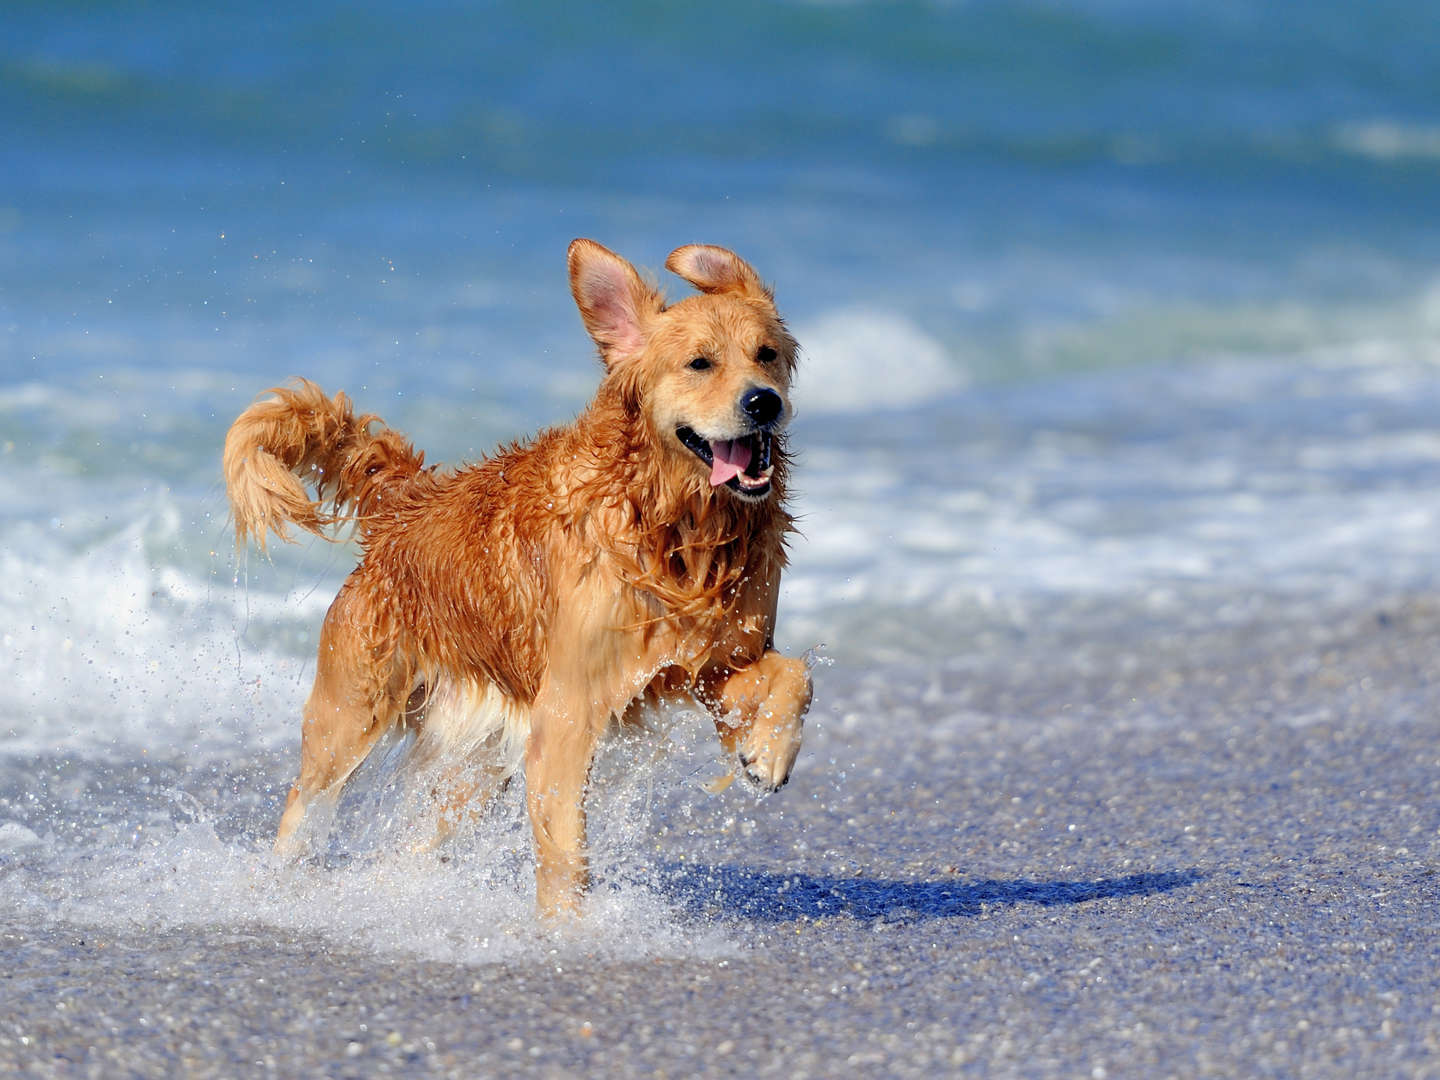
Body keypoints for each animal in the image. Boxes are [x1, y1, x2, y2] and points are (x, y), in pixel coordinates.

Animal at [221, 240, 812, 915]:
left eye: (766, 354)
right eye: (700, 363)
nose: (763, 401)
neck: (673, 526)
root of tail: (406, 506)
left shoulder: (709, 663)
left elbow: (794, 674)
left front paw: (768, 753)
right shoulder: (569, 709)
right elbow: (564, 851)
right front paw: (567, 929)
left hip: (477, 763)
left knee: (418, 841)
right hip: (350, 715)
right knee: (304, 804)